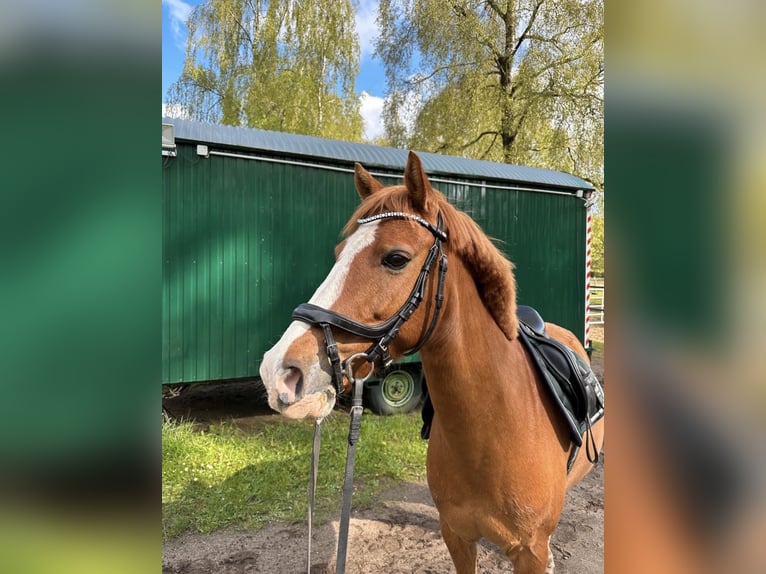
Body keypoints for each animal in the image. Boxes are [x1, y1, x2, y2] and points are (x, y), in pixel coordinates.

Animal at [259, 151, 605, 573]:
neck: (494, 431)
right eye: (339, 255)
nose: (278, 371)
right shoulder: (456, 535)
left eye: (396, 258)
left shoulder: (530, 552)